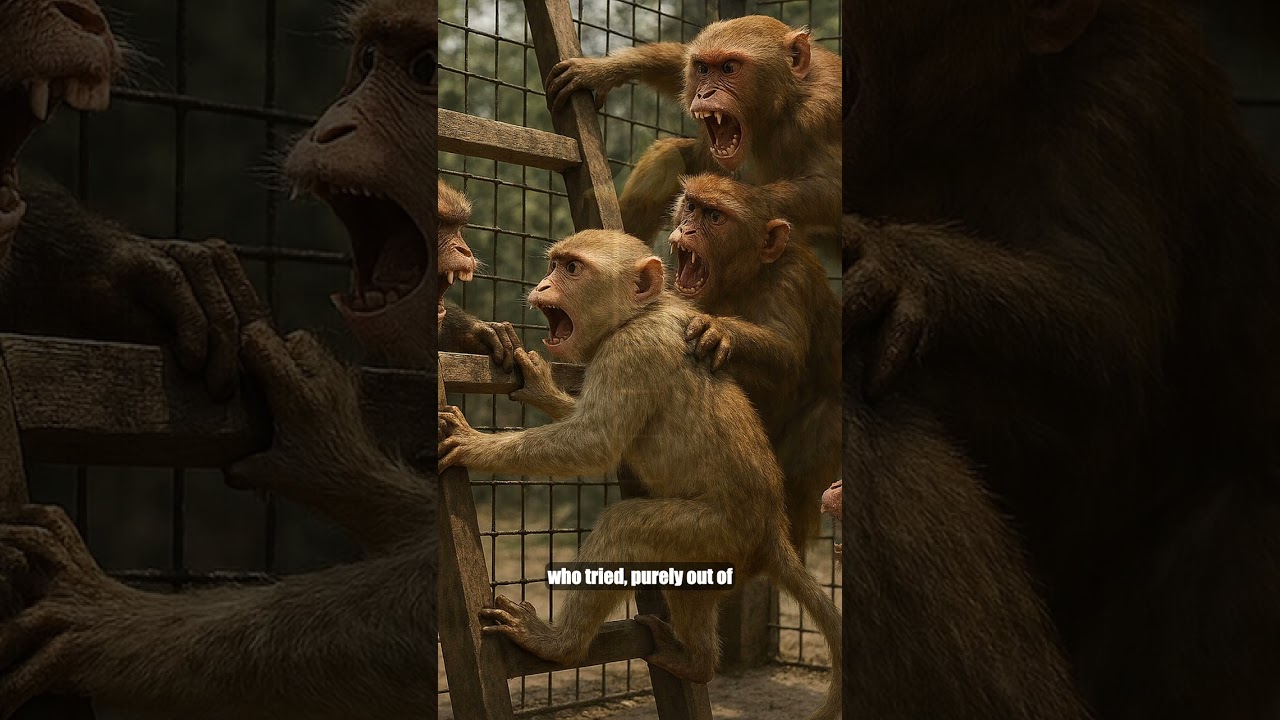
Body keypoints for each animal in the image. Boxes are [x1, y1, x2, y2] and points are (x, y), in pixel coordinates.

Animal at [436, 230, 842, 720]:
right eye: (554, 264)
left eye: (571, 268)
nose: (543, 285)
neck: (639, 314)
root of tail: (771, 532)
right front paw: (542, 388)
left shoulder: (631, 351)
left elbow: (596, 442)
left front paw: (474, 444)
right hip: (717, 555)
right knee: (689, 589)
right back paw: (696, 662)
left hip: (717, 532)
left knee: (625, 526)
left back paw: (559, 645)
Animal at [545, 16, 840, 243]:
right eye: (703, 69)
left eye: (728, 67)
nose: (703, 93)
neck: (784, 103)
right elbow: (680, 65)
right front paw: (603, 69)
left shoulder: (820, 114)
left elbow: (831, 191)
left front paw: (736, 198)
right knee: (669, 158)